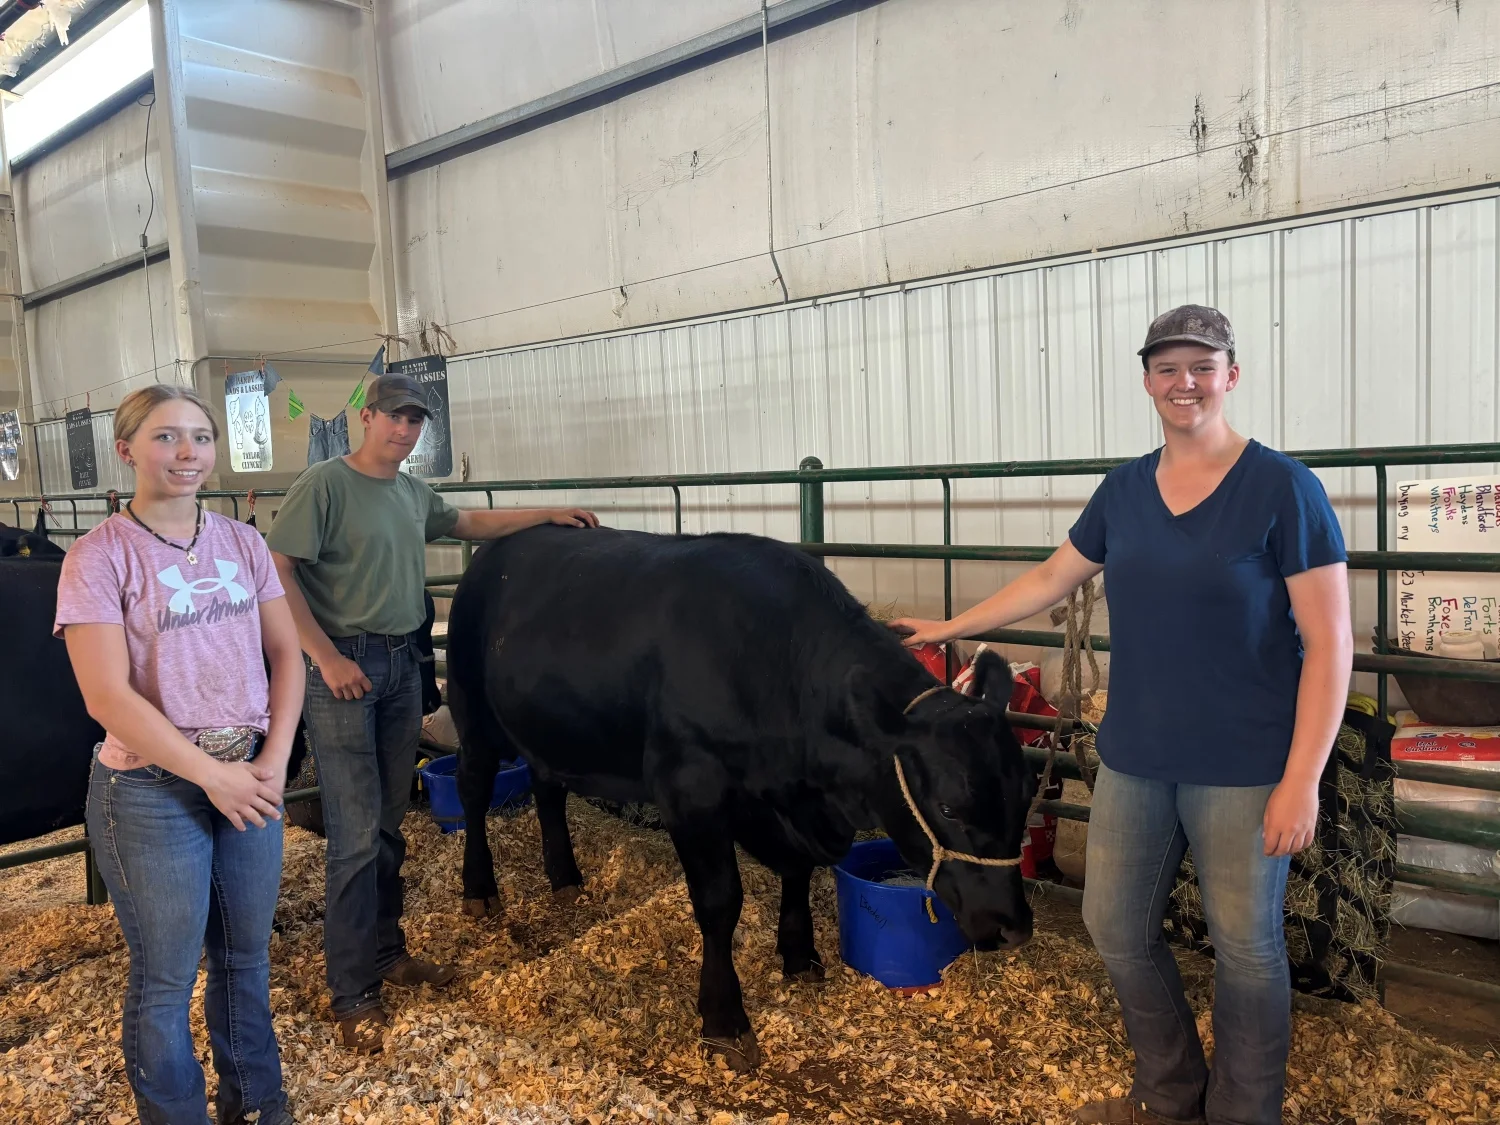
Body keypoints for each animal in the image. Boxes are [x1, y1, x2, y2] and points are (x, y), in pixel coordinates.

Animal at [444, 528, 1032, 1074]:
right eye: (950, 808)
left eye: (1025, 799)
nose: (1015, 927)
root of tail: (500, 547)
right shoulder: (689, 791)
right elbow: (720, 902)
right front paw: (724, 1019)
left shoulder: (781, 804)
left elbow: (798, 869)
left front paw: (800, 954)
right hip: (472, 710)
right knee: (473, 789)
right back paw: (479, 889)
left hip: (548, 730)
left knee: (548, 789)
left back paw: (565, 878)